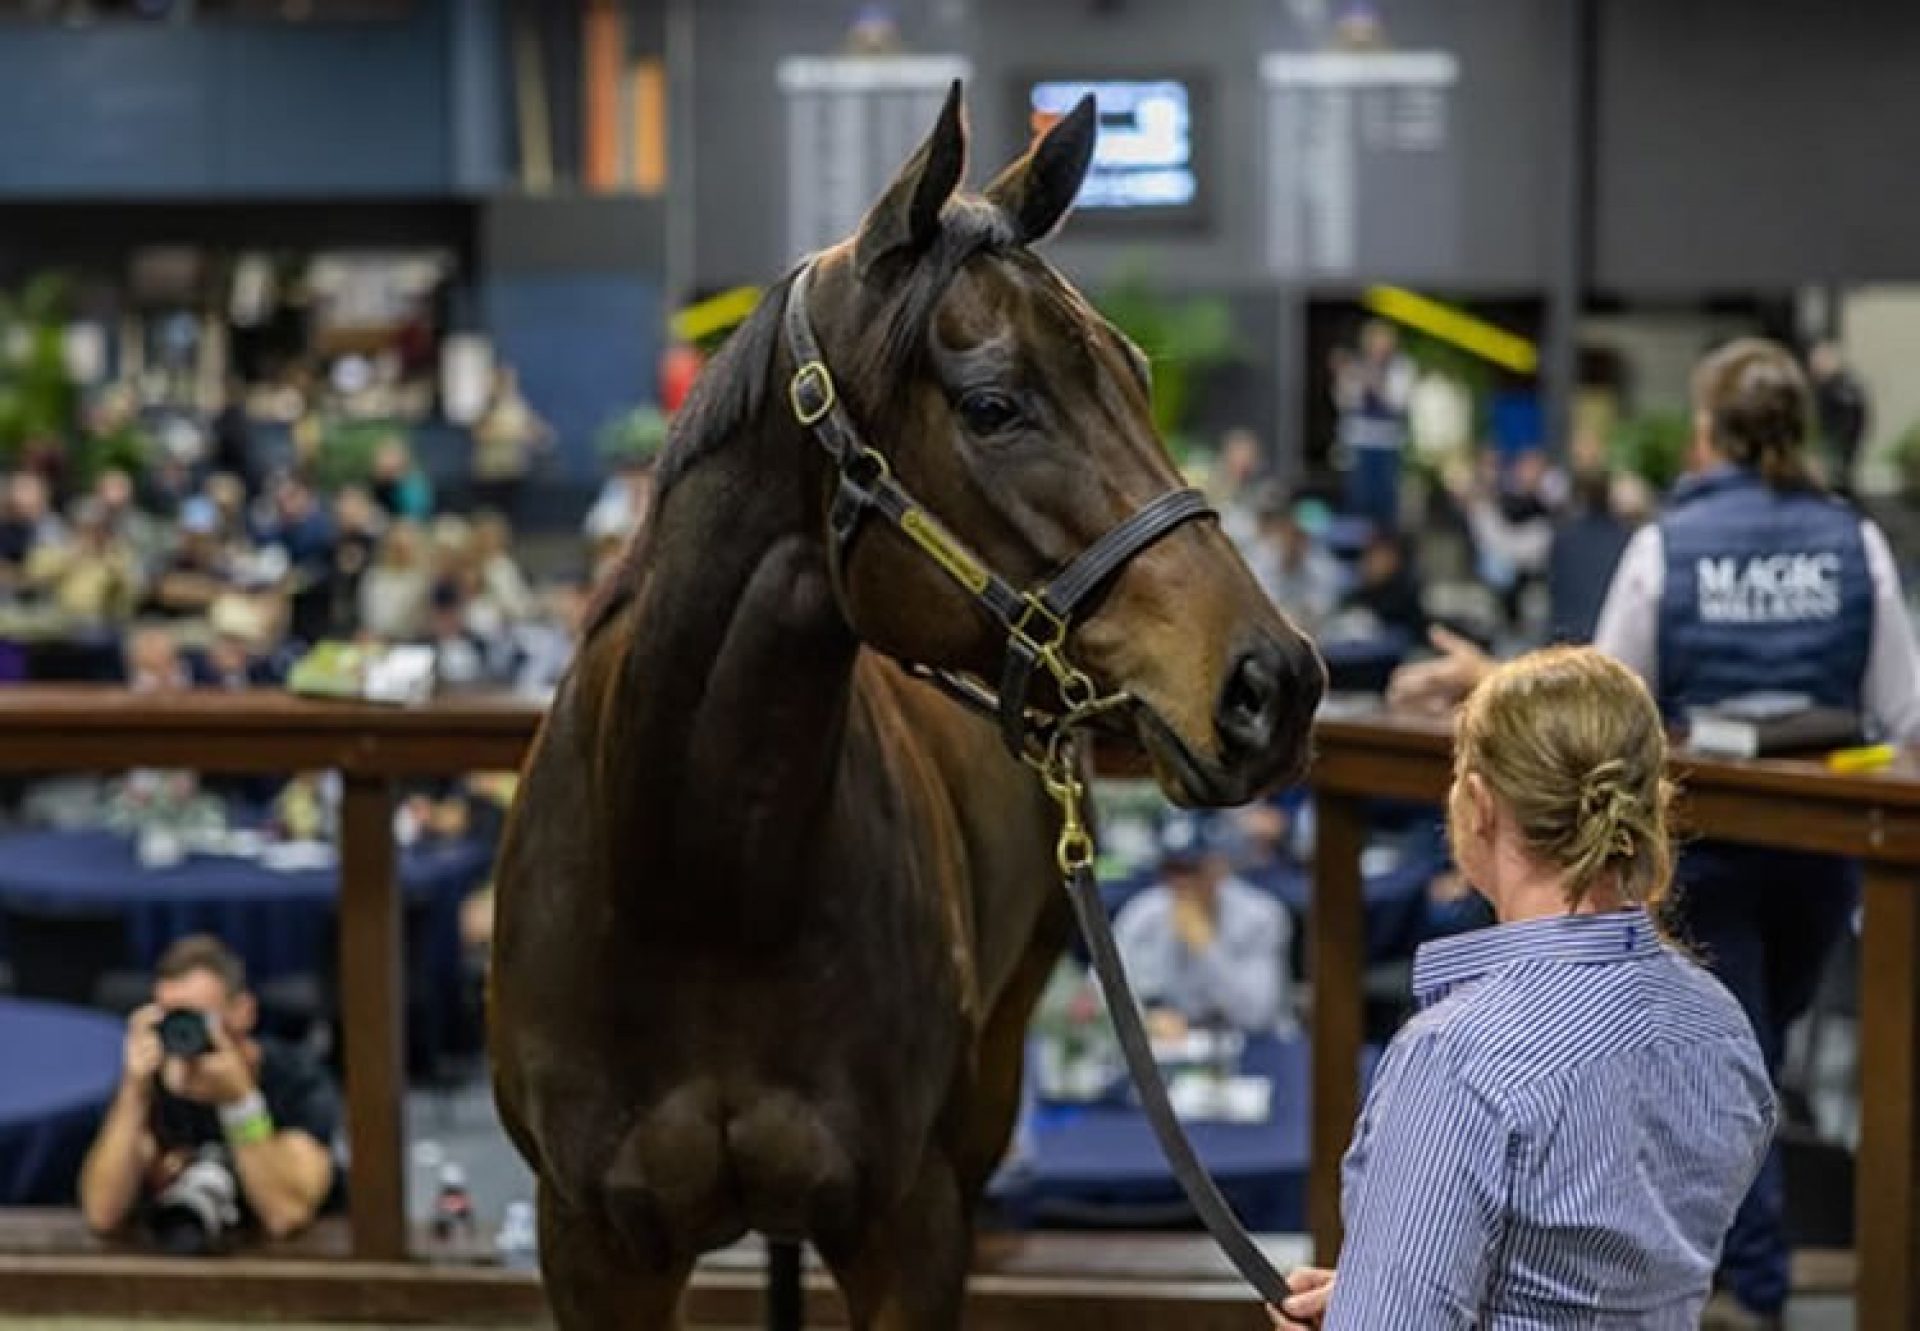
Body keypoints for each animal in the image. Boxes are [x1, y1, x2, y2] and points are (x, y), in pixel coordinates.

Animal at [491, 88, 1320, 1321]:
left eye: (1136, 370)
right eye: (992, 404)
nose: (1276, 682)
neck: (697, 890)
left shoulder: (909, 1224)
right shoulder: (590, 1243)